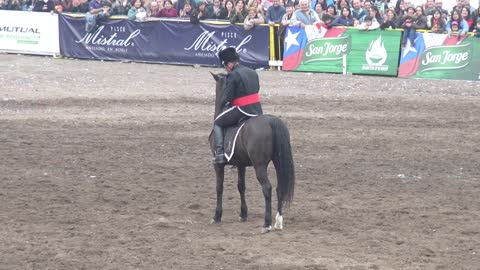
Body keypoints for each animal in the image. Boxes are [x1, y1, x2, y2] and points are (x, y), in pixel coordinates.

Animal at [208, 72, 294, 234]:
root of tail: (271, 121)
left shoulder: (218, 165)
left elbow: (219, 187)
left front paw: (217, 216)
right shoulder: (241, 164)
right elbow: (241, 186)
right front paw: (243, 214)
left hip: (259, 166)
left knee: (267, 188)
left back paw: (266, 224)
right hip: (278, 163)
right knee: (279, 187)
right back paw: (278, 221)